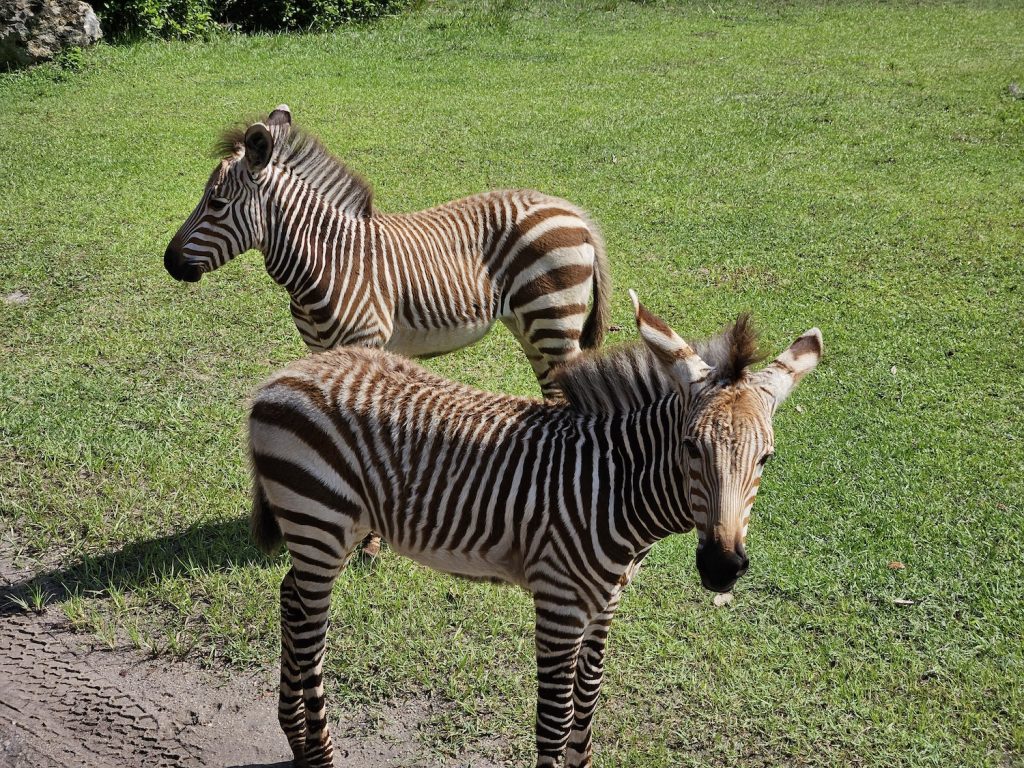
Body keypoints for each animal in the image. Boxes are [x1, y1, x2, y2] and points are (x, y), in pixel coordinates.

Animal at [162, 105, 602, 403]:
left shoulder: (367, 342)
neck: (327, 260)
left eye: (216, 203)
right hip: (530, 325)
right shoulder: (321, 350)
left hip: (554, 319)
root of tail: (573, 211)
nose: (169, 263)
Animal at [247, 290, 823, 765]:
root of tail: (282, 377)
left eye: (766, 458)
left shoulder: (603, 605)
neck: (613, 487)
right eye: (690, 448)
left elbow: (585, 714)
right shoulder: (559, 604)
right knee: (309, 630)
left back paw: (296, 739)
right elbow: (554, 722)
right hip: (320, 521)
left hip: (327, 530)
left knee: (291, 599)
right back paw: (318, 752)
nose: (723, 568)